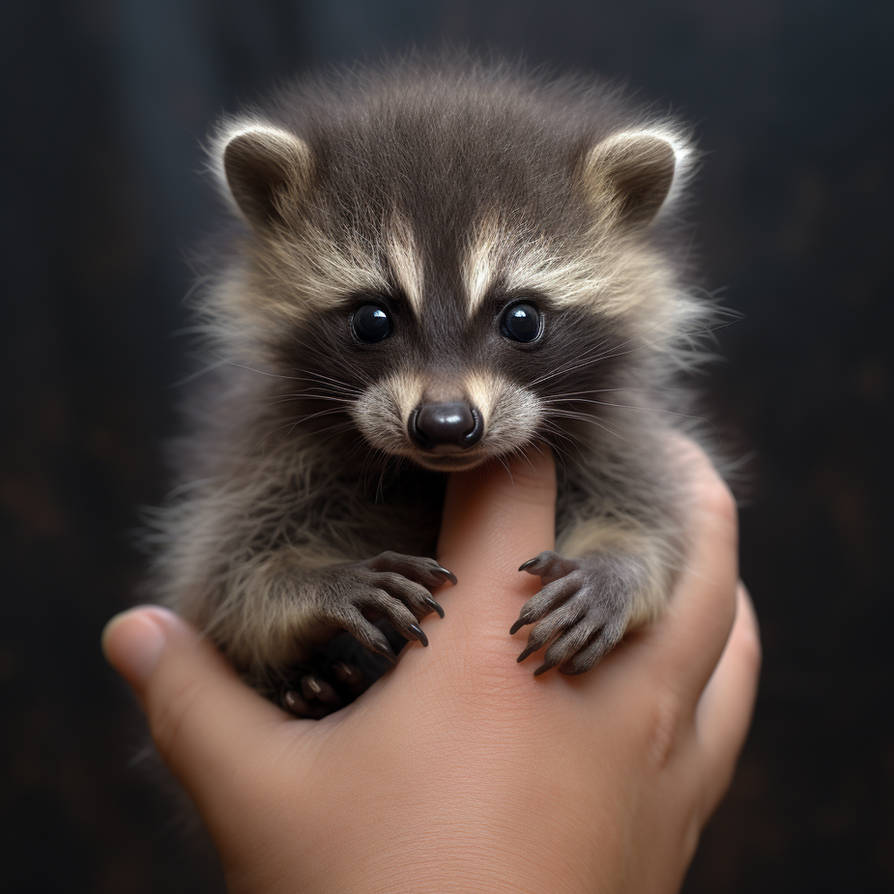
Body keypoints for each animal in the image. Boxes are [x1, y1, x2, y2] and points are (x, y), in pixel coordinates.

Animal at [151, 59, 713, 718]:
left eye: (521, 319)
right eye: (373, 320)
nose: (446, 424)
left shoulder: (618, 432)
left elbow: (649, 518)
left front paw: (614, 569)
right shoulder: (269, 449)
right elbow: (223, 575)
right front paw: (317, 583)